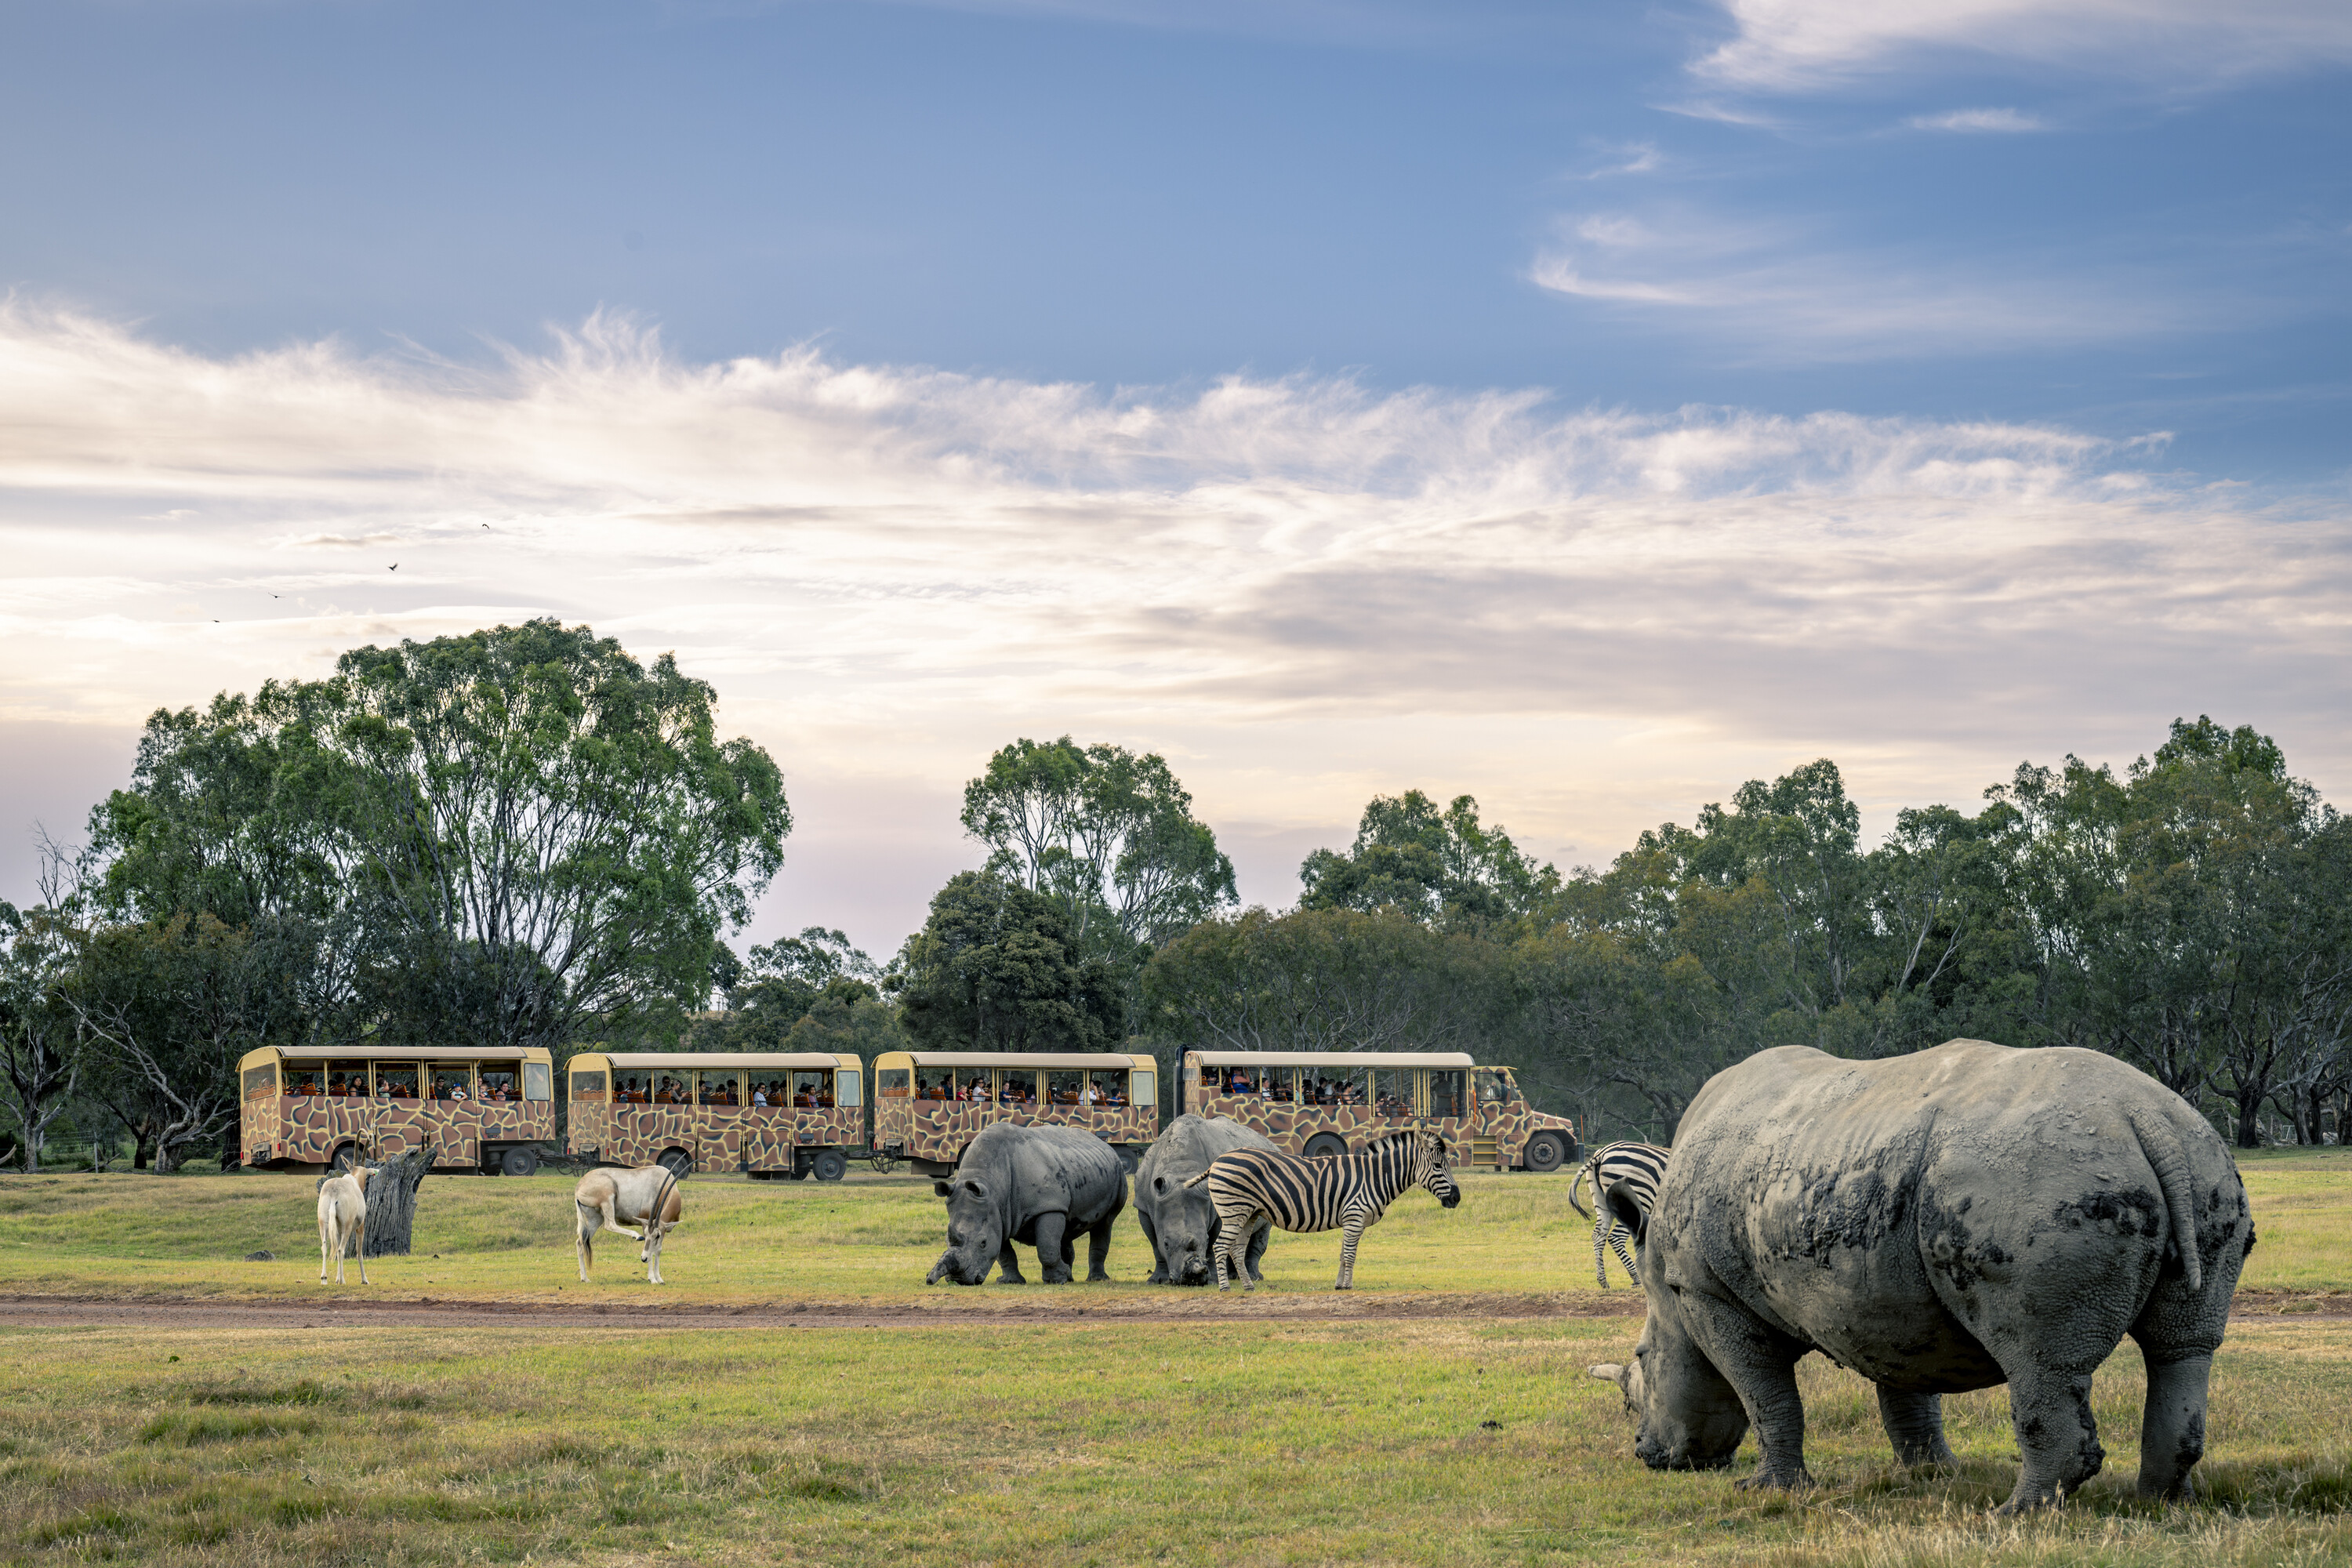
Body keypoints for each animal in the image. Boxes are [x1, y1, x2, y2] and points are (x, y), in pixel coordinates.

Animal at [318, 1166, 376, 1288]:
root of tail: (334, 1190)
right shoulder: (360, 1228)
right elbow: (359, 1254)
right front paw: (364, 1280)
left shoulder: (338, 1232)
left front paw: (336, 1279)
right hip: (347, 1227)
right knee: (341, 1250)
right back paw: (343, 1281)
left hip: (324, 1225)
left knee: (325, 1247)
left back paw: (324, 1278)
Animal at [574, 1166, 687, 1288]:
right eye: (647, 1233)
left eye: (657, 1236)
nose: (643, 1259)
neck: (661, 1182)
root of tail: (579, 1186)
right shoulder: (645, 1221)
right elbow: (650, 1249)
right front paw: (652, 1279)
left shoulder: (663, 1230)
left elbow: (658, 1250)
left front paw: (660, 1279)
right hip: (607, 1200)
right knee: (610, 1225)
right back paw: (636, 1236)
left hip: (595, 1218)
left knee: (580, 1241)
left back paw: (585, 1278)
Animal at [1185, 1133, 1458, 1298]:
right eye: (1438, 1166)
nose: (1456, 1198)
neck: (1374, 1177)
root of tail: (1218, 1161)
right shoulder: (1355, 1216)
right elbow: (1350, 1255)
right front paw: (1348, 1286)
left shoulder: (1352, 1220)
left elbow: (1343, 1254)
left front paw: (1339, 1285)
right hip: (1233, 1211)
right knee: (1221, 1246)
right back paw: (1225, 1288)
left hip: (1248, 1213)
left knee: (1236, 1249)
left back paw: (1249, 1286)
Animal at [1562, 1142, 1675, 1288]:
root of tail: (1602, 1153)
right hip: (1637, 1199)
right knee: (1616, 1237)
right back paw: (1637, 1279)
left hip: (1602, 1202)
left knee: (1598, 1236)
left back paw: (1603, 1280)